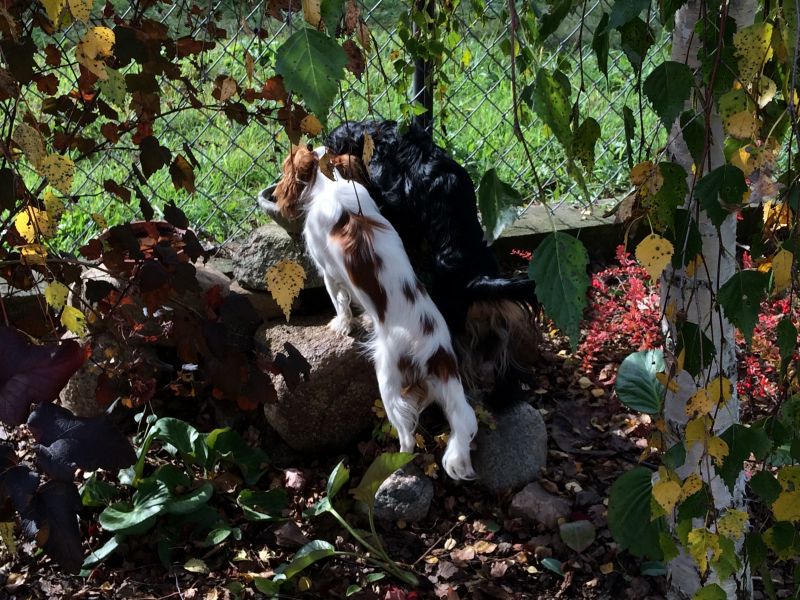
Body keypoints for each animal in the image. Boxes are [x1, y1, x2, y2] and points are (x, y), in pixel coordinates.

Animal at [271, 145, 479, 481]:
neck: (331, 183)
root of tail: (438, 351)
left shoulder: (329, 272)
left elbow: (340, 302)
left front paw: (342, 325)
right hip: (434, 385)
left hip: (388, 380)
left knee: (407, 432)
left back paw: (396, 461)